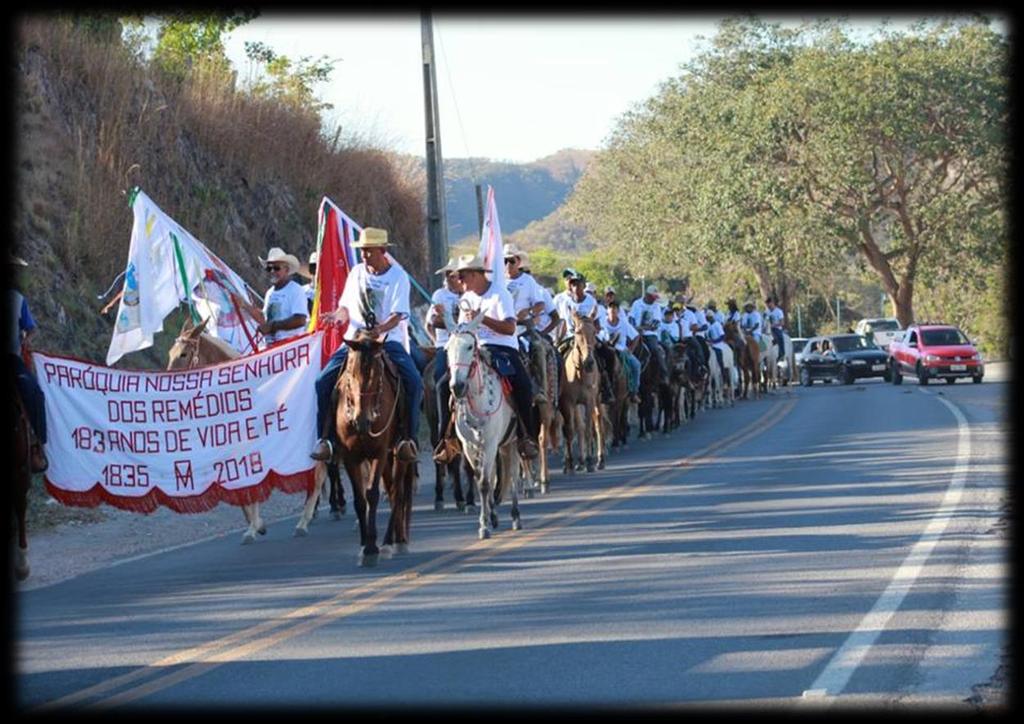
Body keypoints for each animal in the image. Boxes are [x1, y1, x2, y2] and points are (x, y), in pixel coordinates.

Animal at [166, 319, 327, 540]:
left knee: (319, 475)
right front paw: (255, 525)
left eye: (183, 354)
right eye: (170, 353)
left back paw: (305, 520)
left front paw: (253, 526)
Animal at [335, 331, 415, 569]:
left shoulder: (379, 453)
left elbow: (371, 494)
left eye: (379, 376)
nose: (362, 421)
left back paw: (393, 542)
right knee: (391, 488)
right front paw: (364, 544)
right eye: (350, 374)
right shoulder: (350, 457)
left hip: (398, 454)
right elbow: (360, 500)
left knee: (397, 492)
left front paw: (372, 548)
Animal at [444, 309, 524, 540]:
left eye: (470, 346)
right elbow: (482, 479)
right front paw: (487, 519)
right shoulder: (470, 447)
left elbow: (485, 483)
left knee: (513, 475)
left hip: (512, 441)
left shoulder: (489, 444)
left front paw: (485, 525)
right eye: (447, 349)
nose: (457, 386)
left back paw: (516, 517)